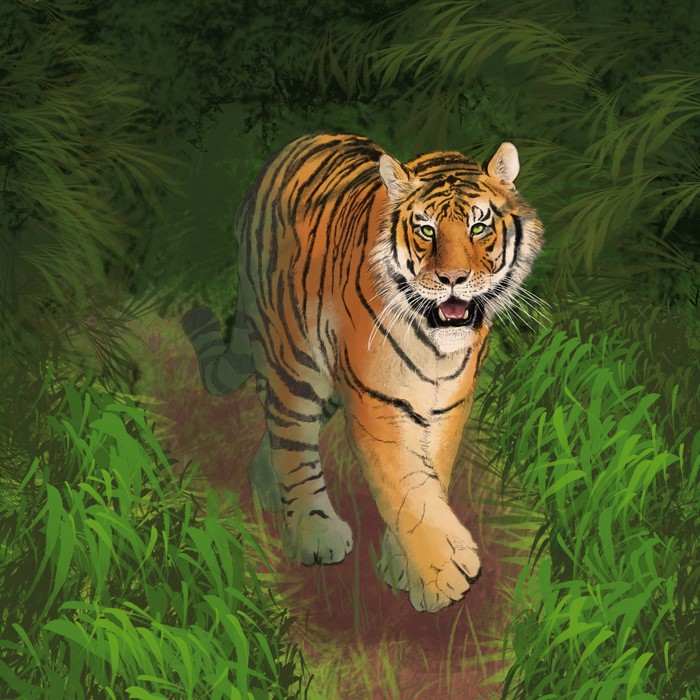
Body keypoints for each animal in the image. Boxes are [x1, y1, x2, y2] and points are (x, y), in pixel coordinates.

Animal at [182, 133, 543, 612]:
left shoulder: (448, 405)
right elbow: (405, 485)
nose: (453, 278)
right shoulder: (378, 401)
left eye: (479, 227)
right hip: (294, 359)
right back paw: (314, 532)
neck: (438, 349)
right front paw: (441, 576)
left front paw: (404, 564)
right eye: (426, 229)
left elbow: (430, 475)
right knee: (291, 436)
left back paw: (266, 485)